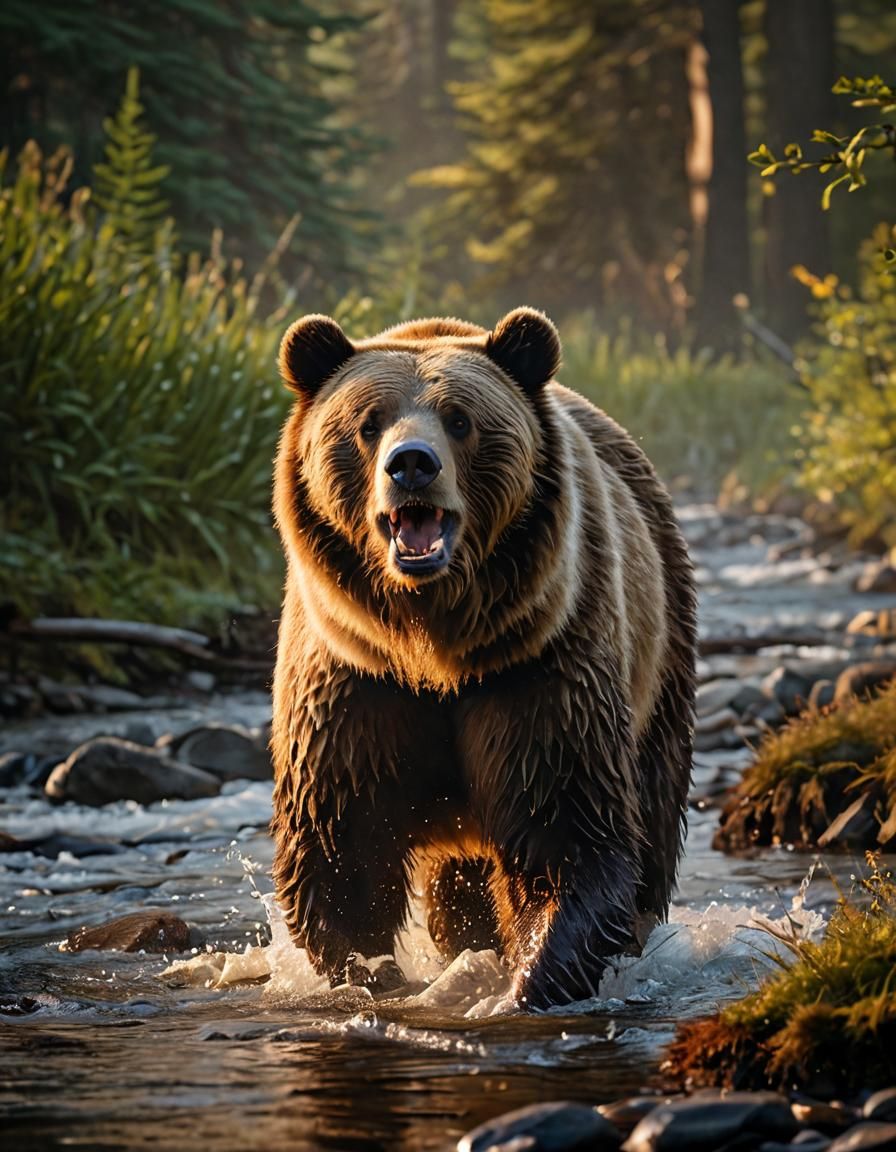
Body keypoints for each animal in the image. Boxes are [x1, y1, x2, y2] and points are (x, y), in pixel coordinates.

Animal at [269, 307, 696, 1009]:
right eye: (367, 423)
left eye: (460, 419)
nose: (411, 465)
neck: (435, 647)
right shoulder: (355, 680)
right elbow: (343, 850)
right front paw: (376, 977)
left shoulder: (537, 666)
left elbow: (566, 836)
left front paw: (529, 982)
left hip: (660, 642)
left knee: (654, 808)